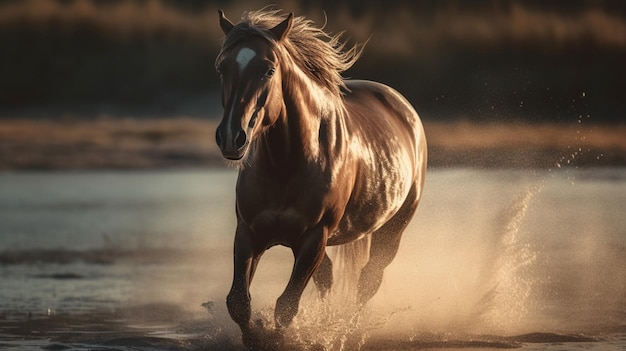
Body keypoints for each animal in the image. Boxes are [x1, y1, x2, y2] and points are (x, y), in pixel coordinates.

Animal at [213, 8, 424, 350]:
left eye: (269, 70)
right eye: (222, 67)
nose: (232, 137)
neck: (287, 164)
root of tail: (405, 110)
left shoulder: (314, 237)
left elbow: (286, 306)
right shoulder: (248, 233)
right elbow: (238, 302)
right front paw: (256, 335)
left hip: (391, 232)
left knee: (368, 282)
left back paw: (349, 330)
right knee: (329, 280)